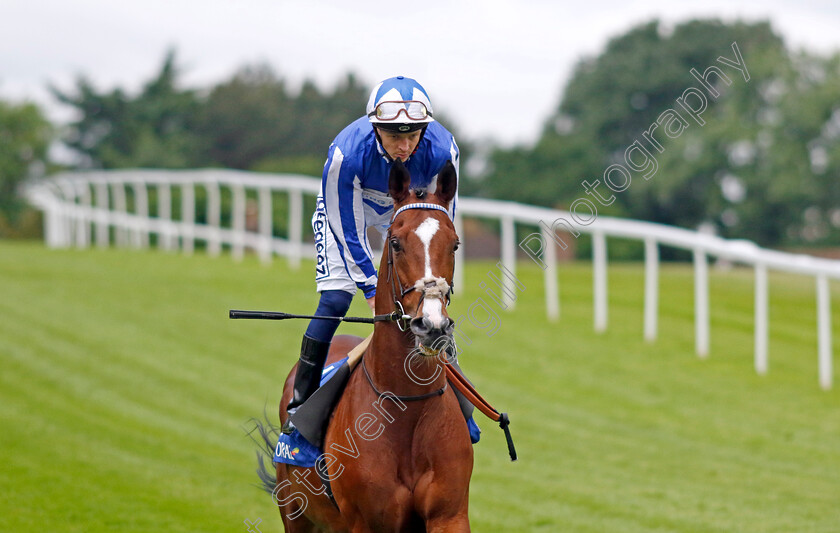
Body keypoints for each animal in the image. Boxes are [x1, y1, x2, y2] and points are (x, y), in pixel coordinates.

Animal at [274, 160, 472, 528]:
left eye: (454, 244)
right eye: (395, 243)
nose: (432, 325)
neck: (407, 408)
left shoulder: (449, 515)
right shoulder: (366, 521)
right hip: (295, 513)